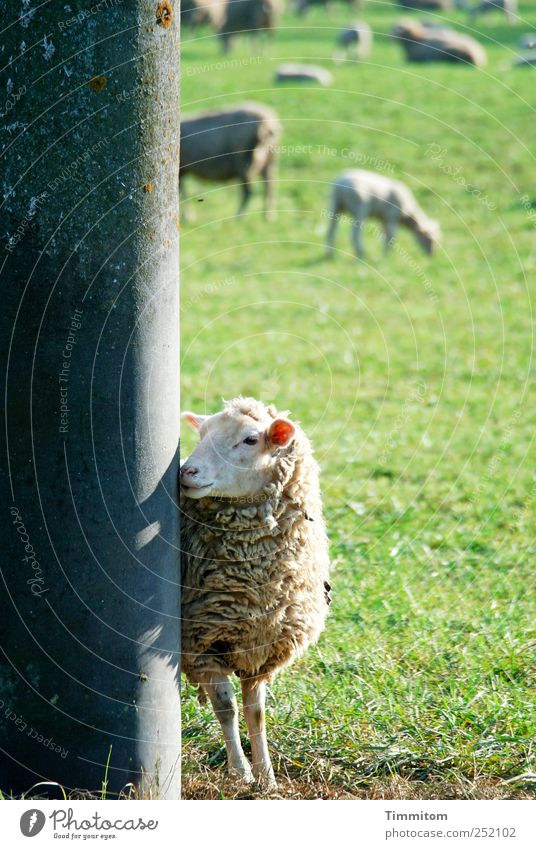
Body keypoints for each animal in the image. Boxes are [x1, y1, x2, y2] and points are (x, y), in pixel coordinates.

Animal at [180, 400, 330, 784]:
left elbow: (256, 712)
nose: (186, 472)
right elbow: (227, 708)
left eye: (250, 439)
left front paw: (267, 776)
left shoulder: (262, 645)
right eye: (202, 435)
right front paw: (241, 772)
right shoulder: (201, 643)